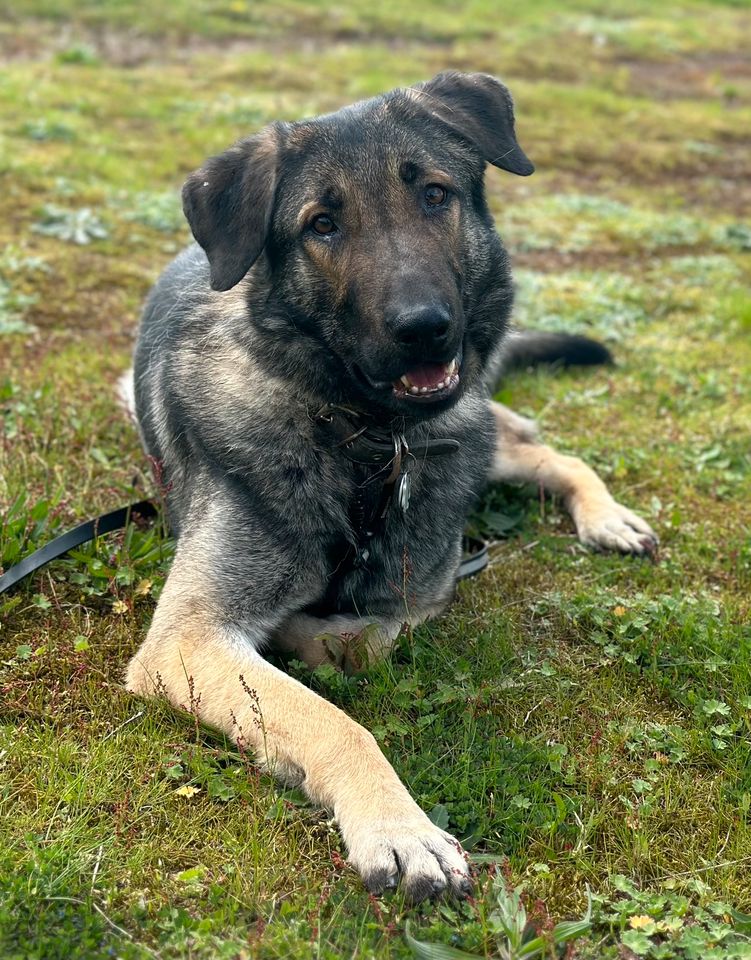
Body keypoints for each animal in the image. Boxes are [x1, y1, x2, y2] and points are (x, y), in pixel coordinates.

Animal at [123, 71, 656, 904]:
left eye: (434, 195)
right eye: (322, 224)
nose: (423, 327)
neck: (367, 442)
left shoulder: (428, 585)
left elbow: (371, 639)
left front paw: (317, 640)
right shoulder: (190, 637)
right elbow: (330, 718)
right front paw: (400, 829)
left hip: (478, 436)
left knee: (544, 449)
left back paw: (607, 517)